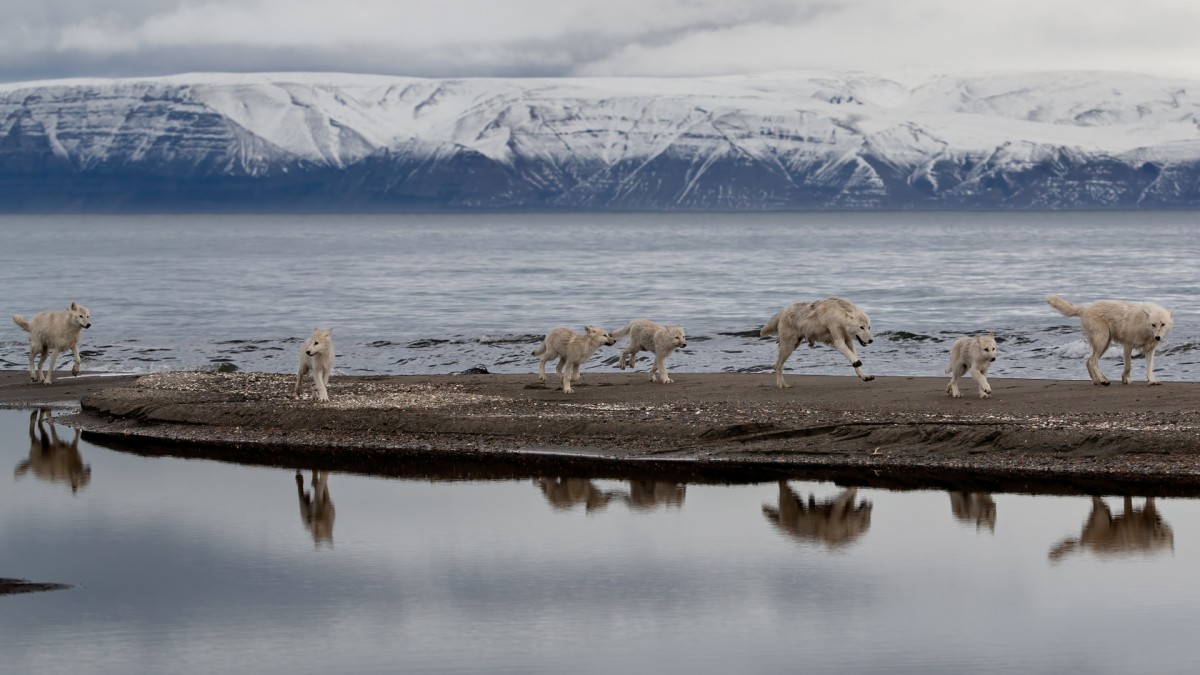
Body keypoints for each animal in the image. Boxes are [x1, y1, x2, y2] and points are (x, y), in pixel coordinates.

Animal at [1046, 294, 1176, 384]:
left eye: (1163, 324)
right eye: (1153, 325)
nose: (1157, 337)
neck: (1143, 324)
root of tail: (1086, 309)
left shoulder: (1150, 350)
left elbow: (1150, 368)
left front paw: (1152, 381)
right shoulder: (1128, 345)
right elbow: (1128, 366)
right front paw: (1126, 379)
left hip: (1105, 344)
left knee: (1089, 362)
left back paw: (1098, 380)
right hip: (1102, 341)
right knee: (1092, 362)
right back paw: (1103, 381)